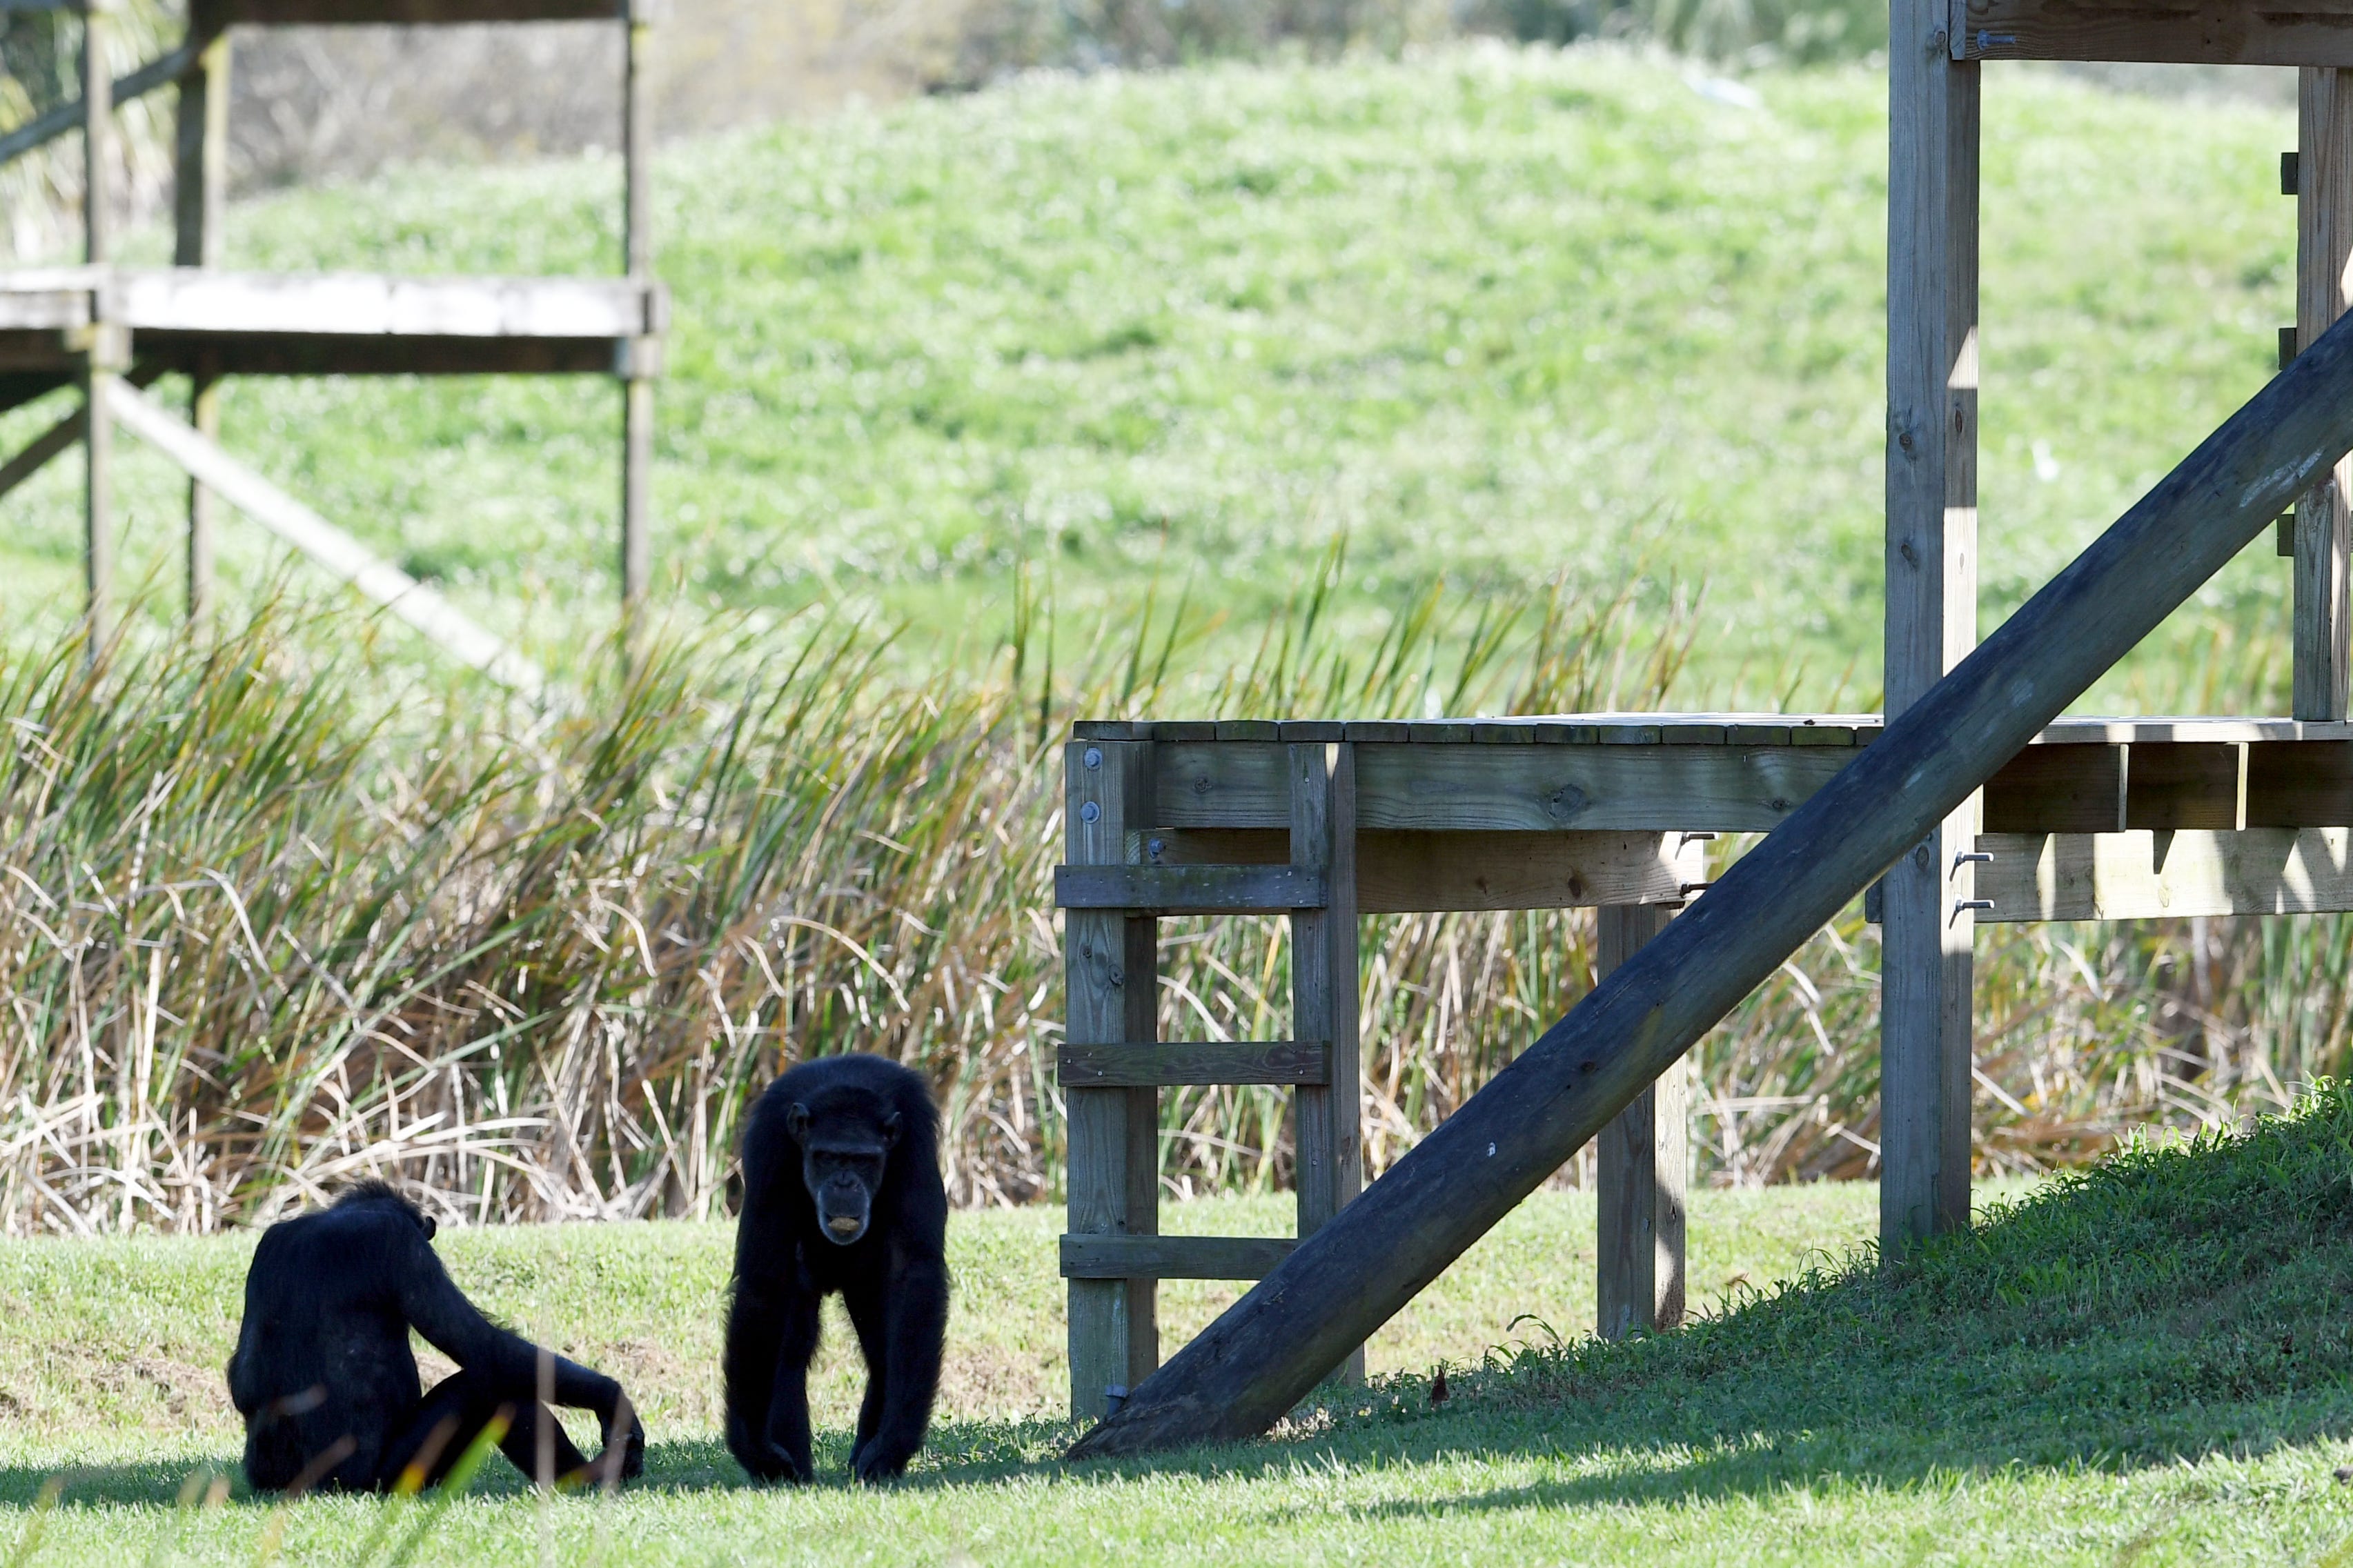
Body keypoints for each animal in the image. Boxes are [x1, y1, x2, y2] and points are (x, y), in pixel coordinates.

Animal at [224, 1189, 644, 1495]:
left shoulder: (270, 1244)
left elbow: (242, 1377)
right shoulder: (403, 1244)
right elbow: (483, 1347)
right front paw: (612, 1400)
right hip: (393, 1476)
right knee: (493, 1391)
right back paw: (591, 1477)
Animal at [734, 1053, 955, 1485]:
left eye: (864, 1160)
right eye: (828, 1157)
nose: (845, 1182)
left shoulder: (915, 1139)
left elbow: (915, 1272)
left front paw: (891, 1448)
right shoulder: (769, 1144)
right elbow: (763, 1282)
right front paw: (757, 1453)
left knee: (884, 1350)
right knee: (791, 1347)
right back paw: (795, 1469)